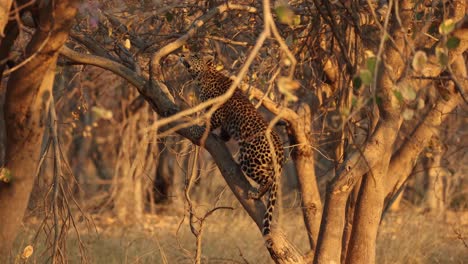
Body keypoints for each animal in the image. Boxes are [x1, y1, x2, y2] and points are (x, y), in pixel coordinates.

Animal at [181, 54, 286, 236]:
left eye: (194, 56)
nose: (182, 55)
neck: (203, 77)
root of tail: (279, 146)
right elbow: (223, 131)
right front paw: (222, 137)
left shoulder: (217, 112)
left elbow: (208, 123)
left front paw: (198, 129)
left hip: (249, 158)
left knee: (269, 179)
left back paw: (255, 194)